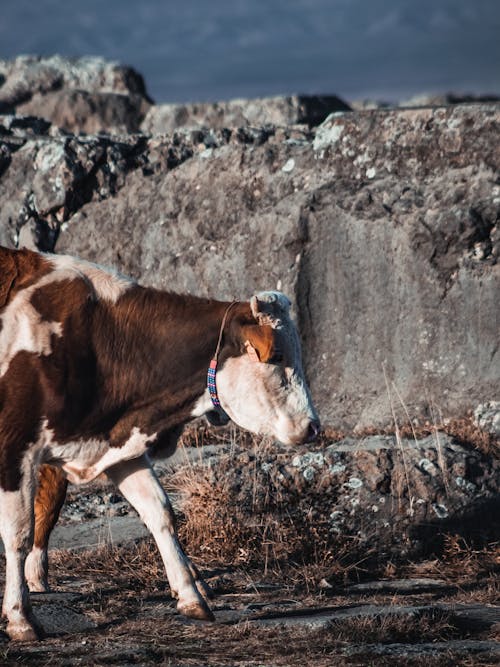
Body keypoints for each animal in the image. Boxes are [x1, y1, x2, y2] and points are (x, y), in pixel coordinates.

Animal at [0, 247, 318, 640]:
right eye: (276, 356)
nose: (312, 426)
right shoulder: (15, 447)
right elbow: (19, 532)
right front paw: (20, 617)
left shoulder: (120, 442)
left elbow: (160, 512)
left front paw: (190, 595)